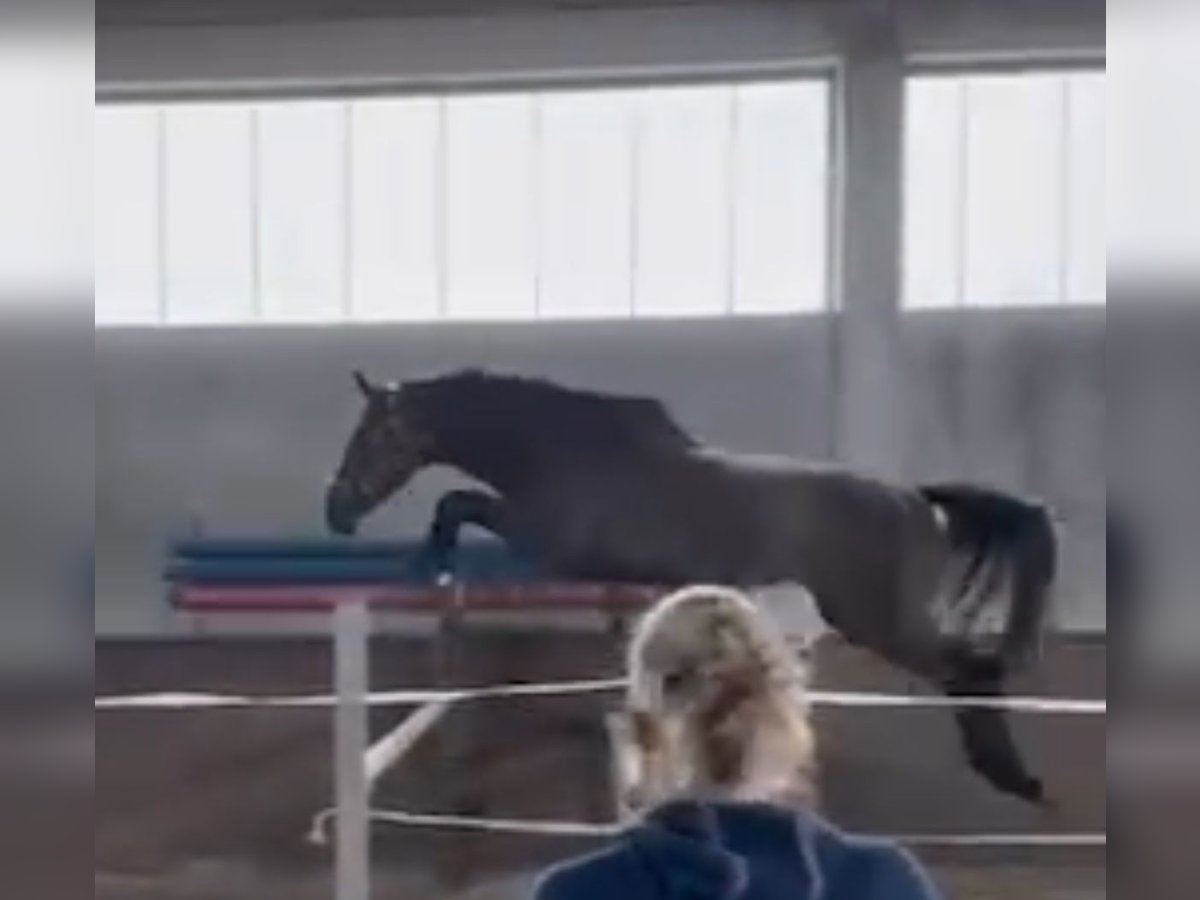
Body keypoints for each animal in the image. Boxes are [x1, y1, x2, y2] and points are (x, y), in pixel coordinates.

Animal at [324, 369, 1056, 806]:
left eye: (372, 439)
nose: (337, 512)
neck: (559, 449)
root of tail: (917, 500)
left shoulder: (546, 542)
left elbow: (455, 502)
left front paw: (429, 560)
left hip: (878, 619)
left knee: (969, 669)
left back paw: (1012, 776)